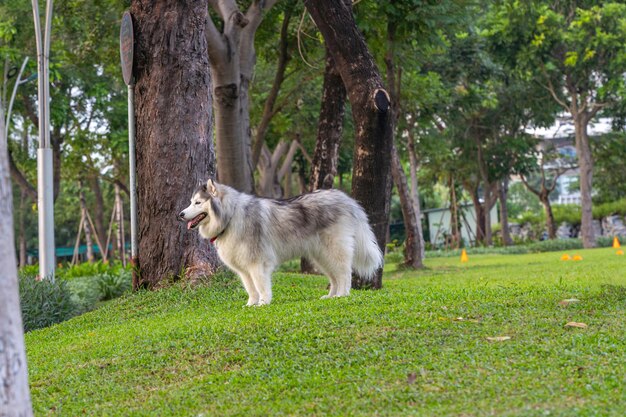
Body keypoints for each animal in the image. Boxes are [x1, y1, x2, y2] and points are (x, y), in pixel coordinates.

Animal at [176, 179, 380, 306]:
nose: (180, 214)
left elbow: (260, 285)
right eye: (191, 202)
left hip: (334, 250)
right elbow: (251, 289)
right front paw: (251, 304)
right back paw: (331, 296)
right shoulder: (243, 269)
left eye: (197, 203)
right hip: (321, 257)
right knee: (334, 277)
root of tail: (346, 198)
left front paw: (263, 303)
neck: (231, 216)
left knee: (344, 274)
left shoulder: (257, 263)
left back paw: (342, 295)